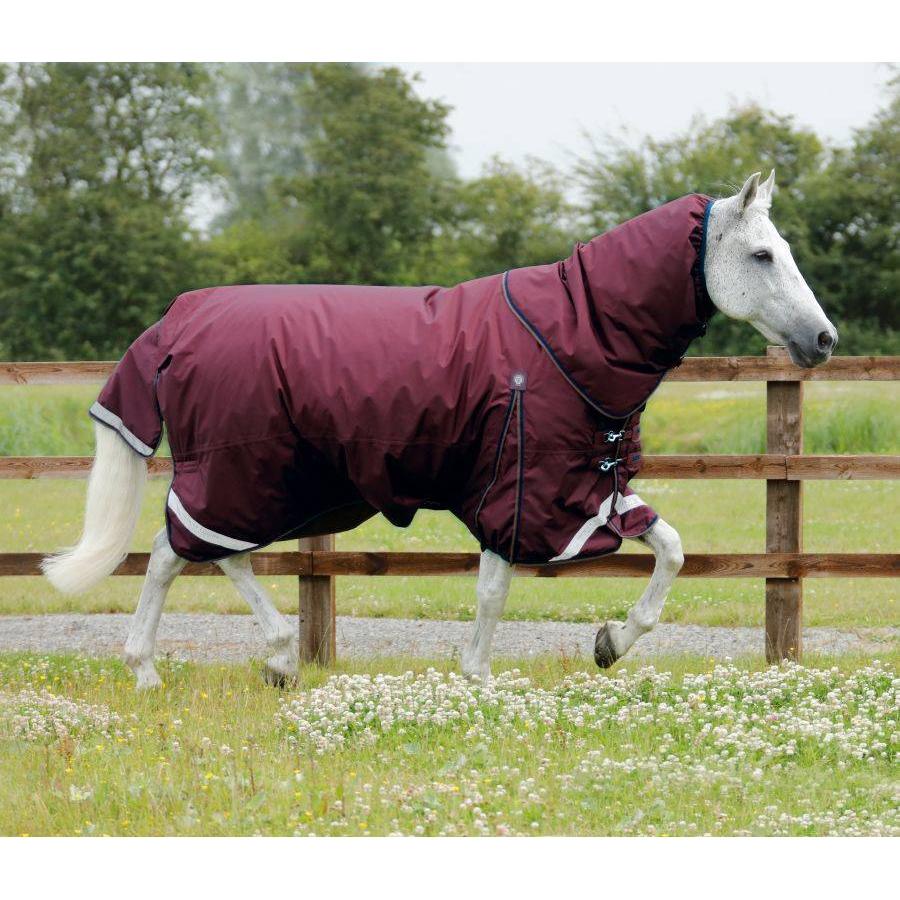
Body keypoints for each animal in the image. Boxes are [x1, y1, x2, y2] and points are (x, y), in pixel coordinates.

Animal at [42, 171, 837, 688]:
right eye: (762, 255)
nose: (824, 339)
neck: (569, 336)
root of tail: (176, 322)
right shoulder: (519, 486)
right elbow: (494, 589)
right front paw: (478, 675)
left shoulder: (590, 488)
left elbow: (670, 551)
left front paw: (610, 642)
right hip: (242, 472)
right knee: (183, 552)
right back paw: (199, 663)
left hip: (279, 478)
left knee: (196, 553)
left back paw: (243, 660)